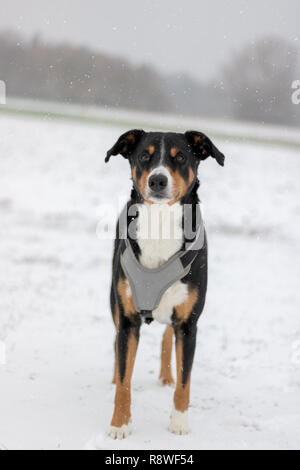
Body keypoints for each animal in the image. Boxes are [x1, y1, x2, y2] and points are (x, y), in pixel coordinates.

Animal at [105, 130, 225, 438]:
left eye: (180, 157)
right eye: (143, 156)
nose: (157, 180)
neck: (159, 224)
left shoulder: (188, 323)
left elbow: (185, 380)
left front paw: (179, 423)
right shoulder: (128, 318)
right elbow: (125, 379)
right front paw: (119, 424)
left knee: (166, 336)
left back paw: (166, 376)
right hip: (114, 302)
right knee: (116, 343)